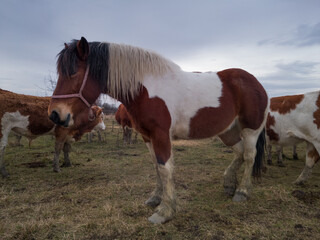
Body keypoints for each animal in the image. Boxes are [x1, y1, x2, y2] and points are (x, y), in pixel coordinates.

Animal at [47, 37, 268, 223]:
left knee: (249, 155)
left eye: (73, 72)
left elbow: (165, 168)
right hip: (227, 131)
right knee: (239, 152)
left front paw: (165, 211)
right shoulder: (147, 137)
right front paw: (155, 198)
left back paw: (242, 192)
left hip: (251, 130)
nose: (54, 114)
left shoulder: (161, 136)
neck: (146, 89)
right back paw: (229, 184)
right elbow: (156, 166)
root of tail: (256, 83)